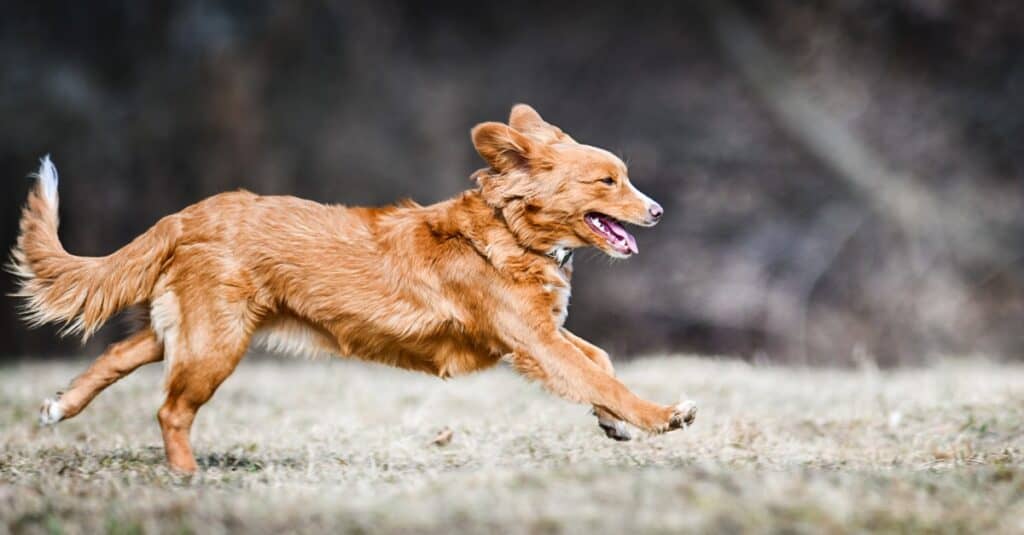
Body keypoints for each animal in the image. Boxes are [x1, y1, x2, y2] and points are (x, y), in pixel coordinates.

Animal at [12, 104, 696, 471]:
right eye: (607, 181)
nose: (660, 211)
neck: (510, 229)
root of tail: (190, 214)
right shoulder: (531, 342)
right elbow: (600, 375)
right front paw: (659, 416)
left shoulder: (541, 333)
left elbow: (599, 361)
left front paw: (615, 425)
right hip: (215, 343)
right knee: (170, 409)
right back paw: (187, 476)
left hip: (190, 328)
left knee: (116, 355)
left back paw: (60, 407)